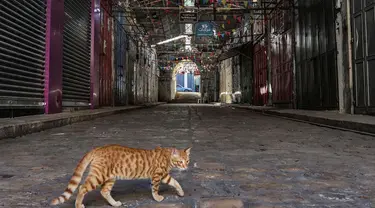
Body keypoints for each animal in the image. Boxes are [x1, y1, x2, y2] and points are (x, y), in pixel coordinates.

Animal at [50, 145, 191, 208]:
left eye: (187, 161)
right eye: (180, 162)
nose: (185, 167)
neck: (167, 156)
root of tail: (98, 148)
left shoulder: (165, 176)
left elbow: (175, 182)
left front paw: (180, 192)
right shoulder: (157, 175)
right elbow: (155, 188)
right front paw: (157, 198)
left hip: (110, 178)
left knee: (104, 191)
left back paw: (114, 203)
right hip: (98, 176)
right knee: (82, 188)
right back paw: (79, 205)